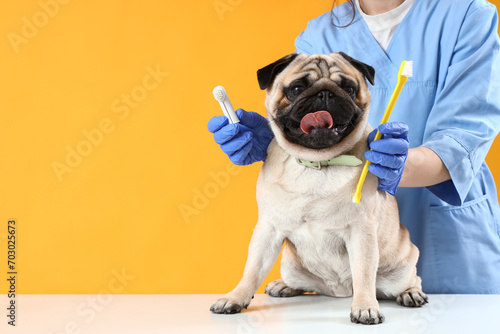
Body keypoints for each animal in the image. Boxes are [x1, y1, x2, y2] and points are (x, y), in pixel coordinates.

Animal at [209, 52, 428, 324]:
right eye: (296, 89)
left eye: (349, 88)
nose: (325, 94)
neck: (317, 163)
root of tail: (339, 291)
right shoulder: (268, 229)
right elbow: (252, 269)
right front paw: (236, 298)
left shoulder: (362, 231)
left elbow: (364, 274)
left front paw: (365, 307)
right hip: (290, 265)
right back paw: (284, 286)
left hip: (402, 269)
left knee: (411, 279)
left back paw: (411, 294)